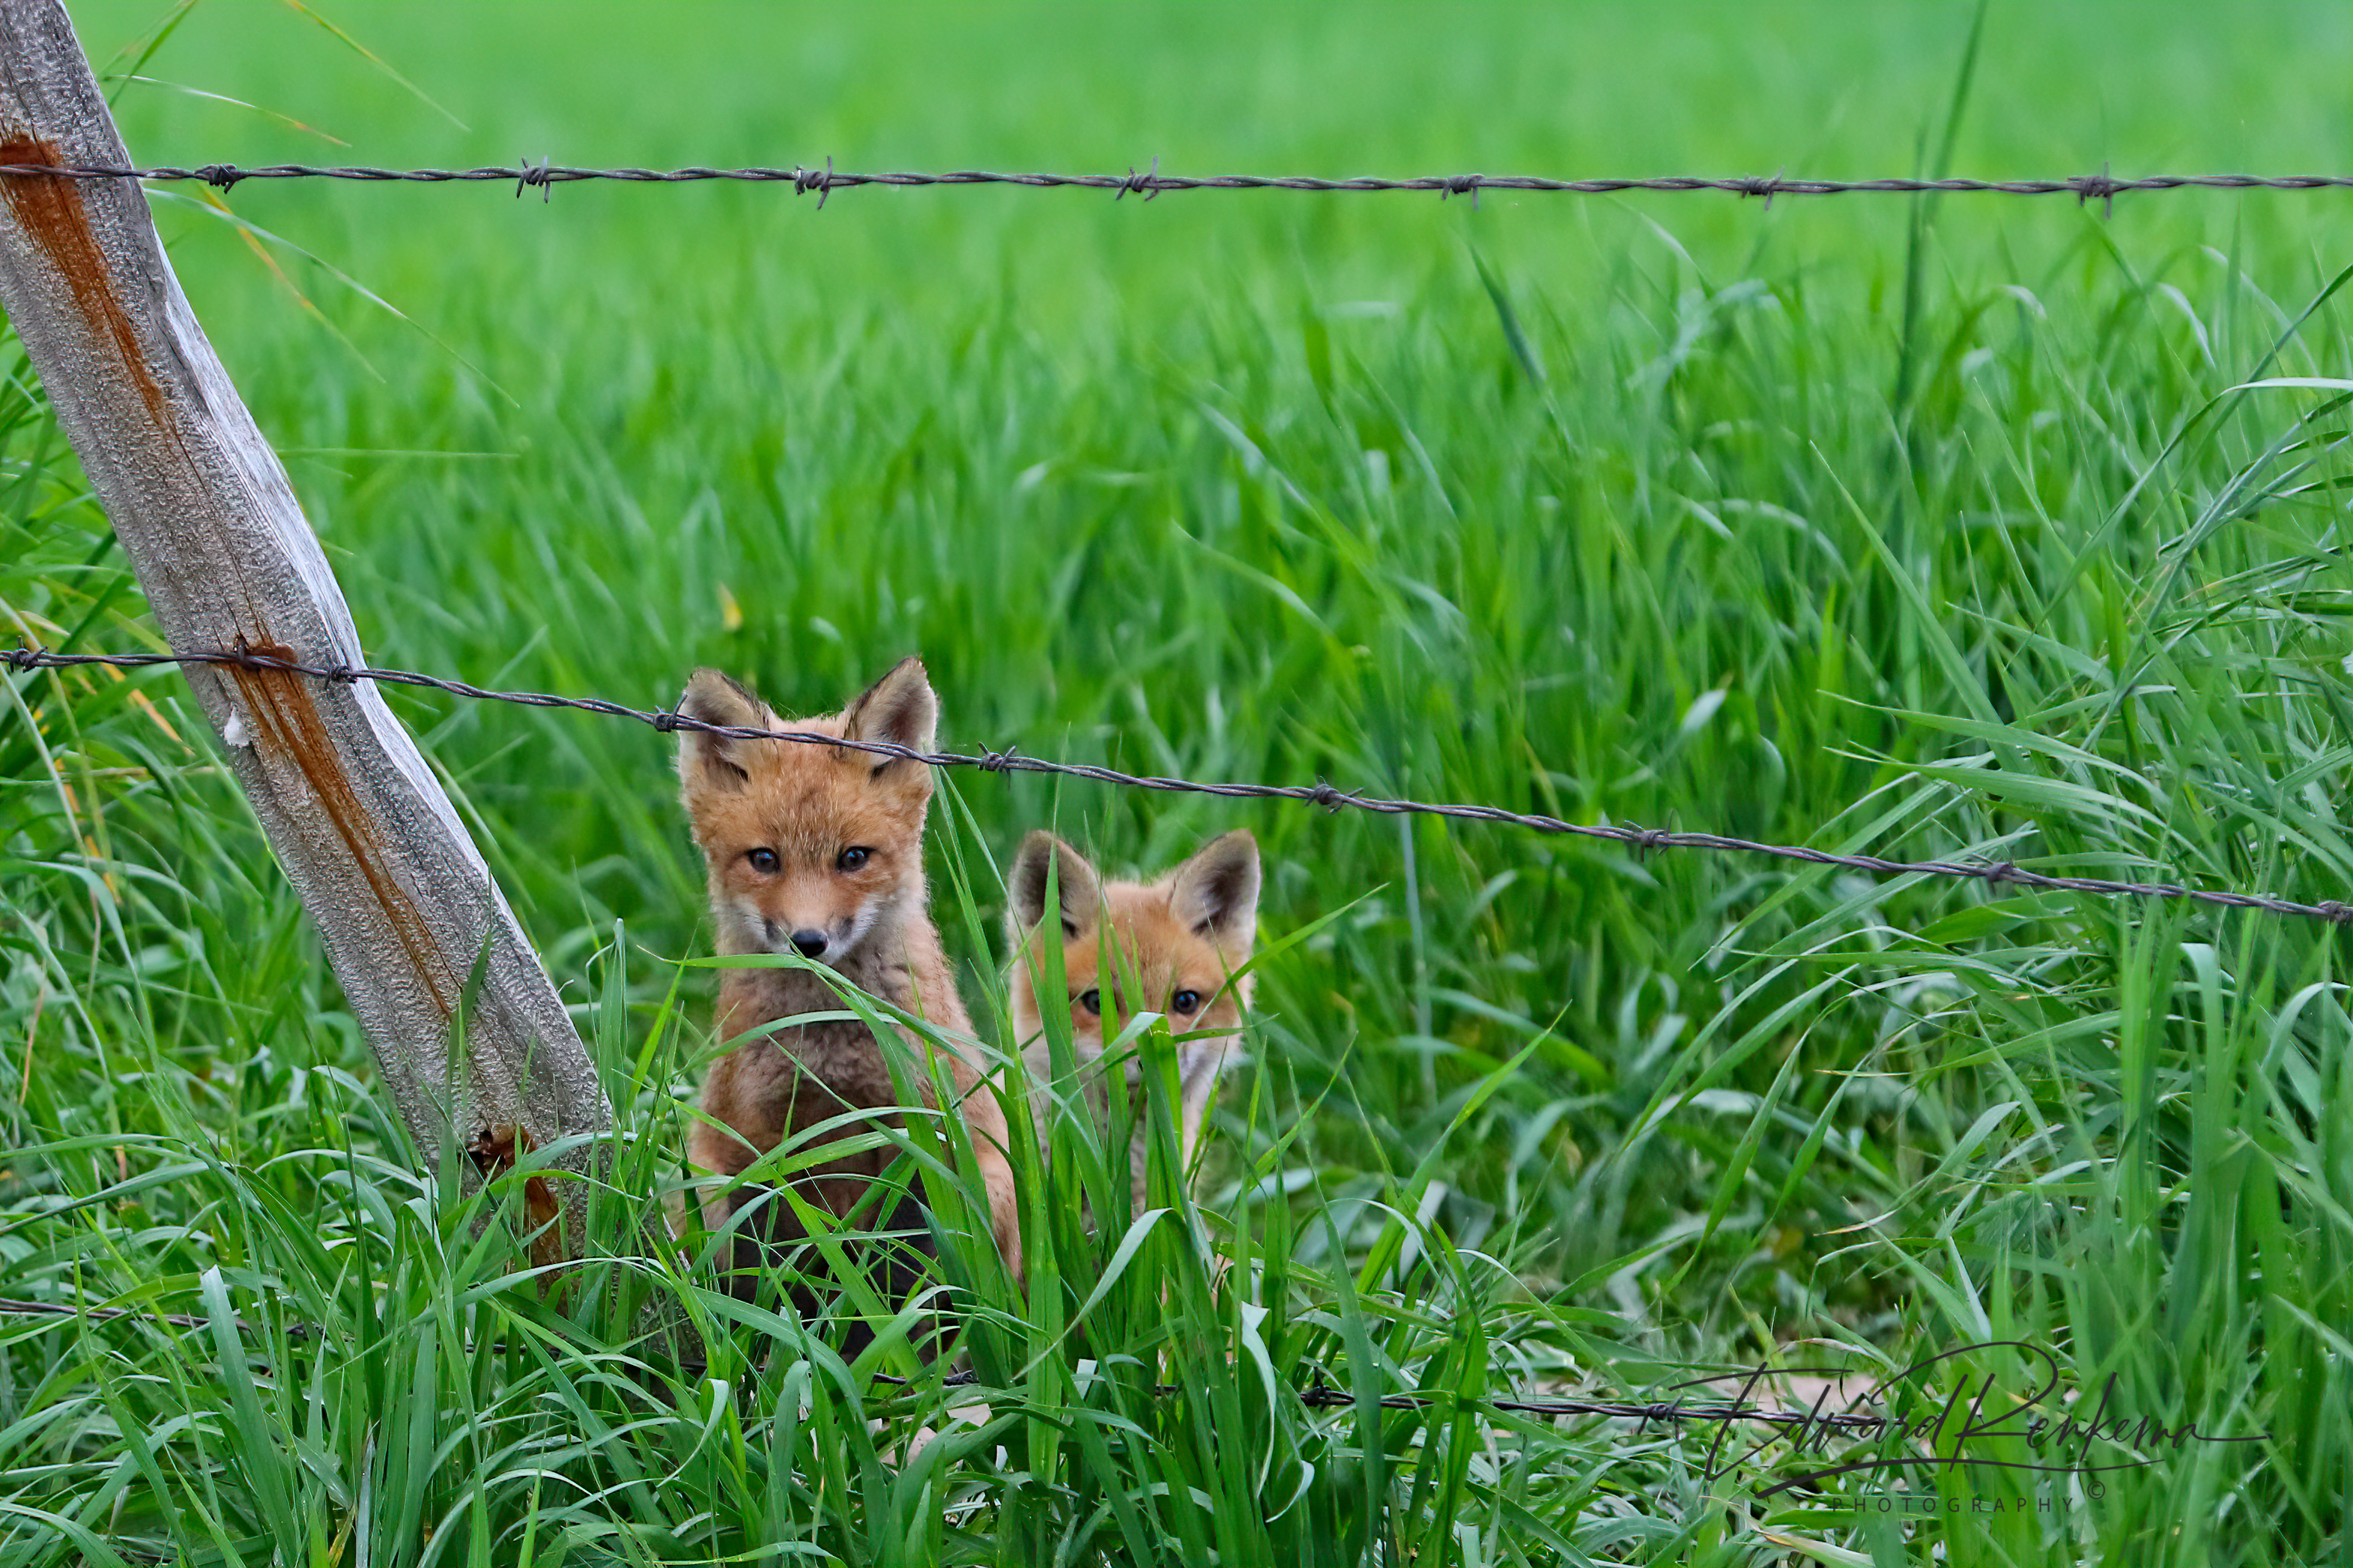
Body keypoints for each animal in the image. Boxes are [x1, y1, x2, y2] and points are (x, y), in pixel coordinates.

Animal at [676, 657, 1021, 1320]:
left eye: (853, 857)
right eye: (764, 859)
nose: (808, 941)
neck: (825, 1045)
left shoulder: (914, 1133)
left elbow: (898, 1272)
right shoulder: (762, 1141)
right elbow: (775, 1272)